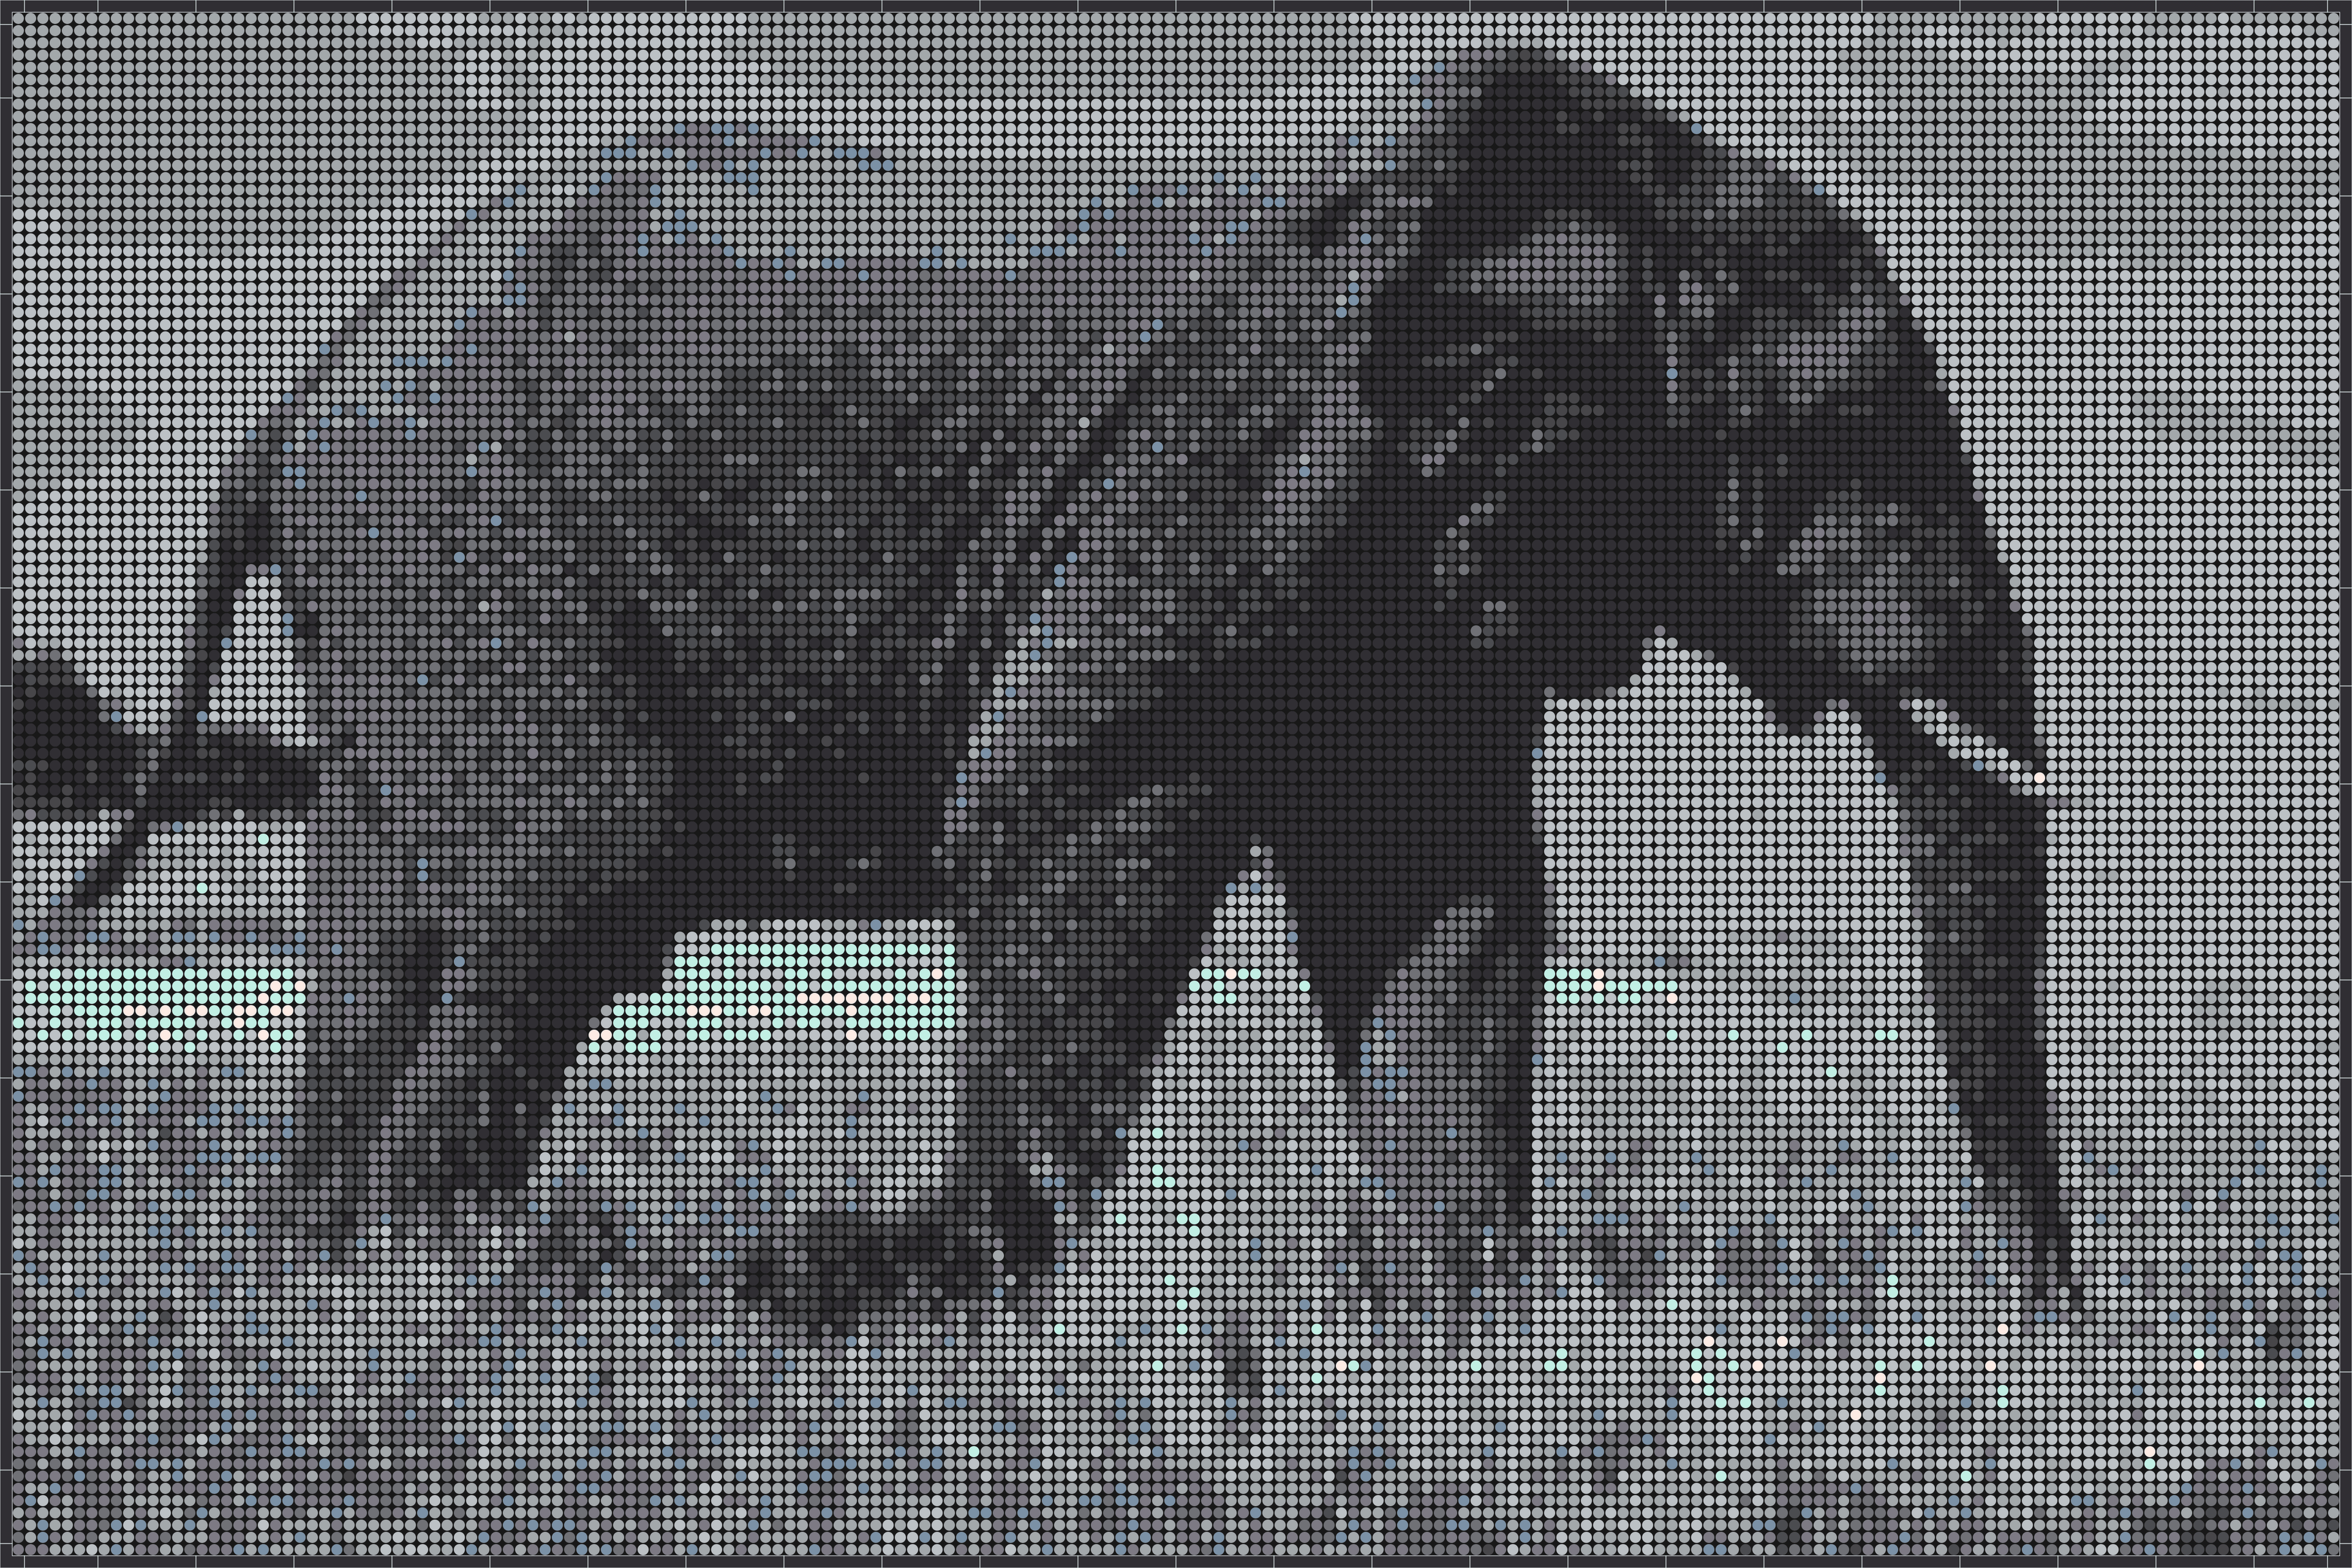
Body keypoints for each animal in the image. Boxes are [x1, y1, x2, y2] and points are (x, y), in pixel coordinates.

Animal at [70, 48, 2077, 1324]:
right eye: (1848, 448)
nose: (2045, 1315)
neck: (1614, 180)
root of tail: (289, 399)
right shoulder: (1223, 479)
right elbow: (1056, 820)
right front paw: (940, 1300)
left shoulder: (1418, 557)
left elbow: (1440, 899)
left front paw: (1451, 1343)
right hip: (470, 533)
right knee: (581, 876)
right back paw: (440, 1288)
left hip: (402, 583)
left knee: (385, 922)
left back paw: (329, 1263)